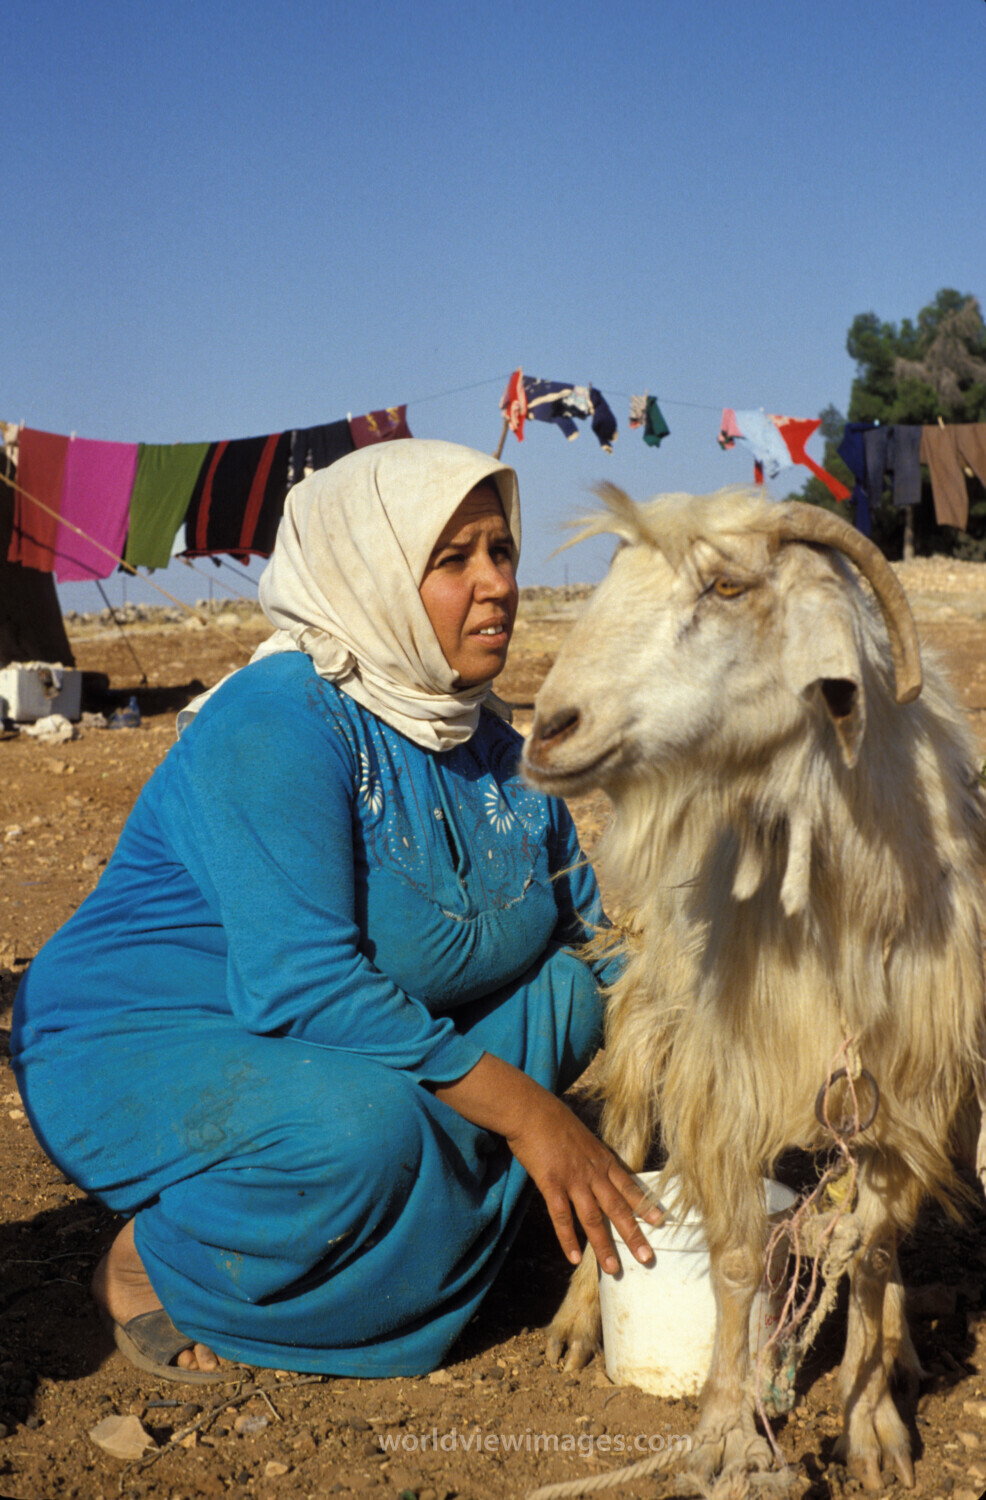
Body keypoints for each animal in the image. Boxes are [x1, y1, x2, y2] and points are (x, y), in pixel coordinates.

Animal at [522, 486, 986, 1491]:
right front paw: (726, 1432)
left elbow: (872, 1250)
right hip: (649, 1011)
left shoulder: (910, 1081)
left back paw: (898, 1347)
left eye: (727, 586)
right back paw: (576, 1320)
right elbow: (736, 1262)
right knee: (617, 1149)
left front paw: (872, 1424)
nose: (548, 730)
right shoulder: (726, 1073)